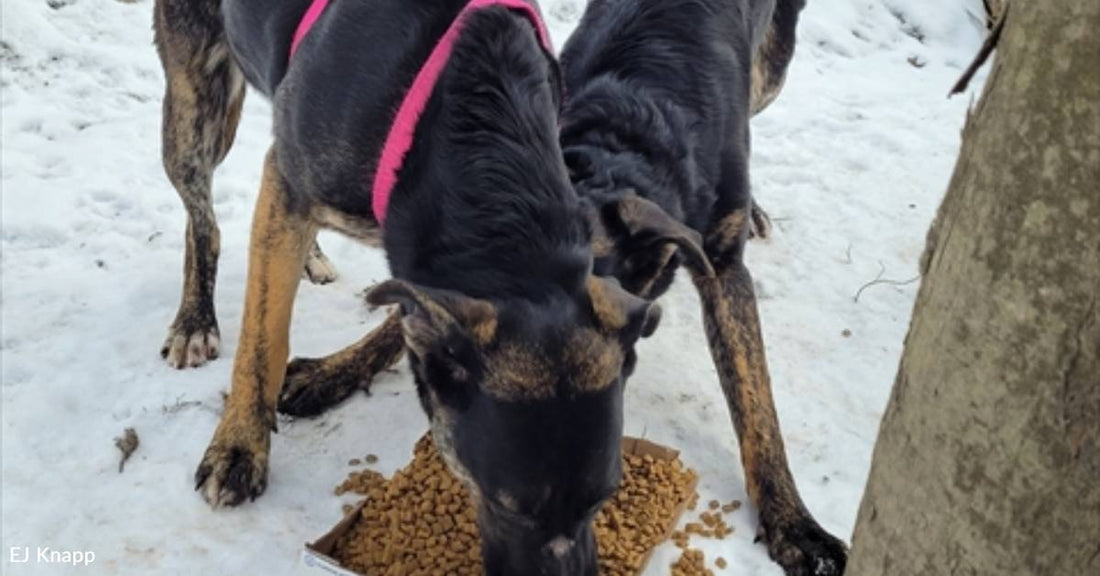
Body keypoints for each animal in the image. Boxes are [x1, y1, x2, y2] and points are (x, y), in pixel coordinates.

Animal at [151, 1, 673, 576]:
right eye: (508, 505)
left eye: (604, 497)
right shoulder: (288, 182)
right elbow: (263, 336)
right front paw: (240, 446)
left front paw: (329, 375)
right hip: (197, 109)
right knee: (203, 217)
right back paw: (195, 320)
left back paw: (309, 258)